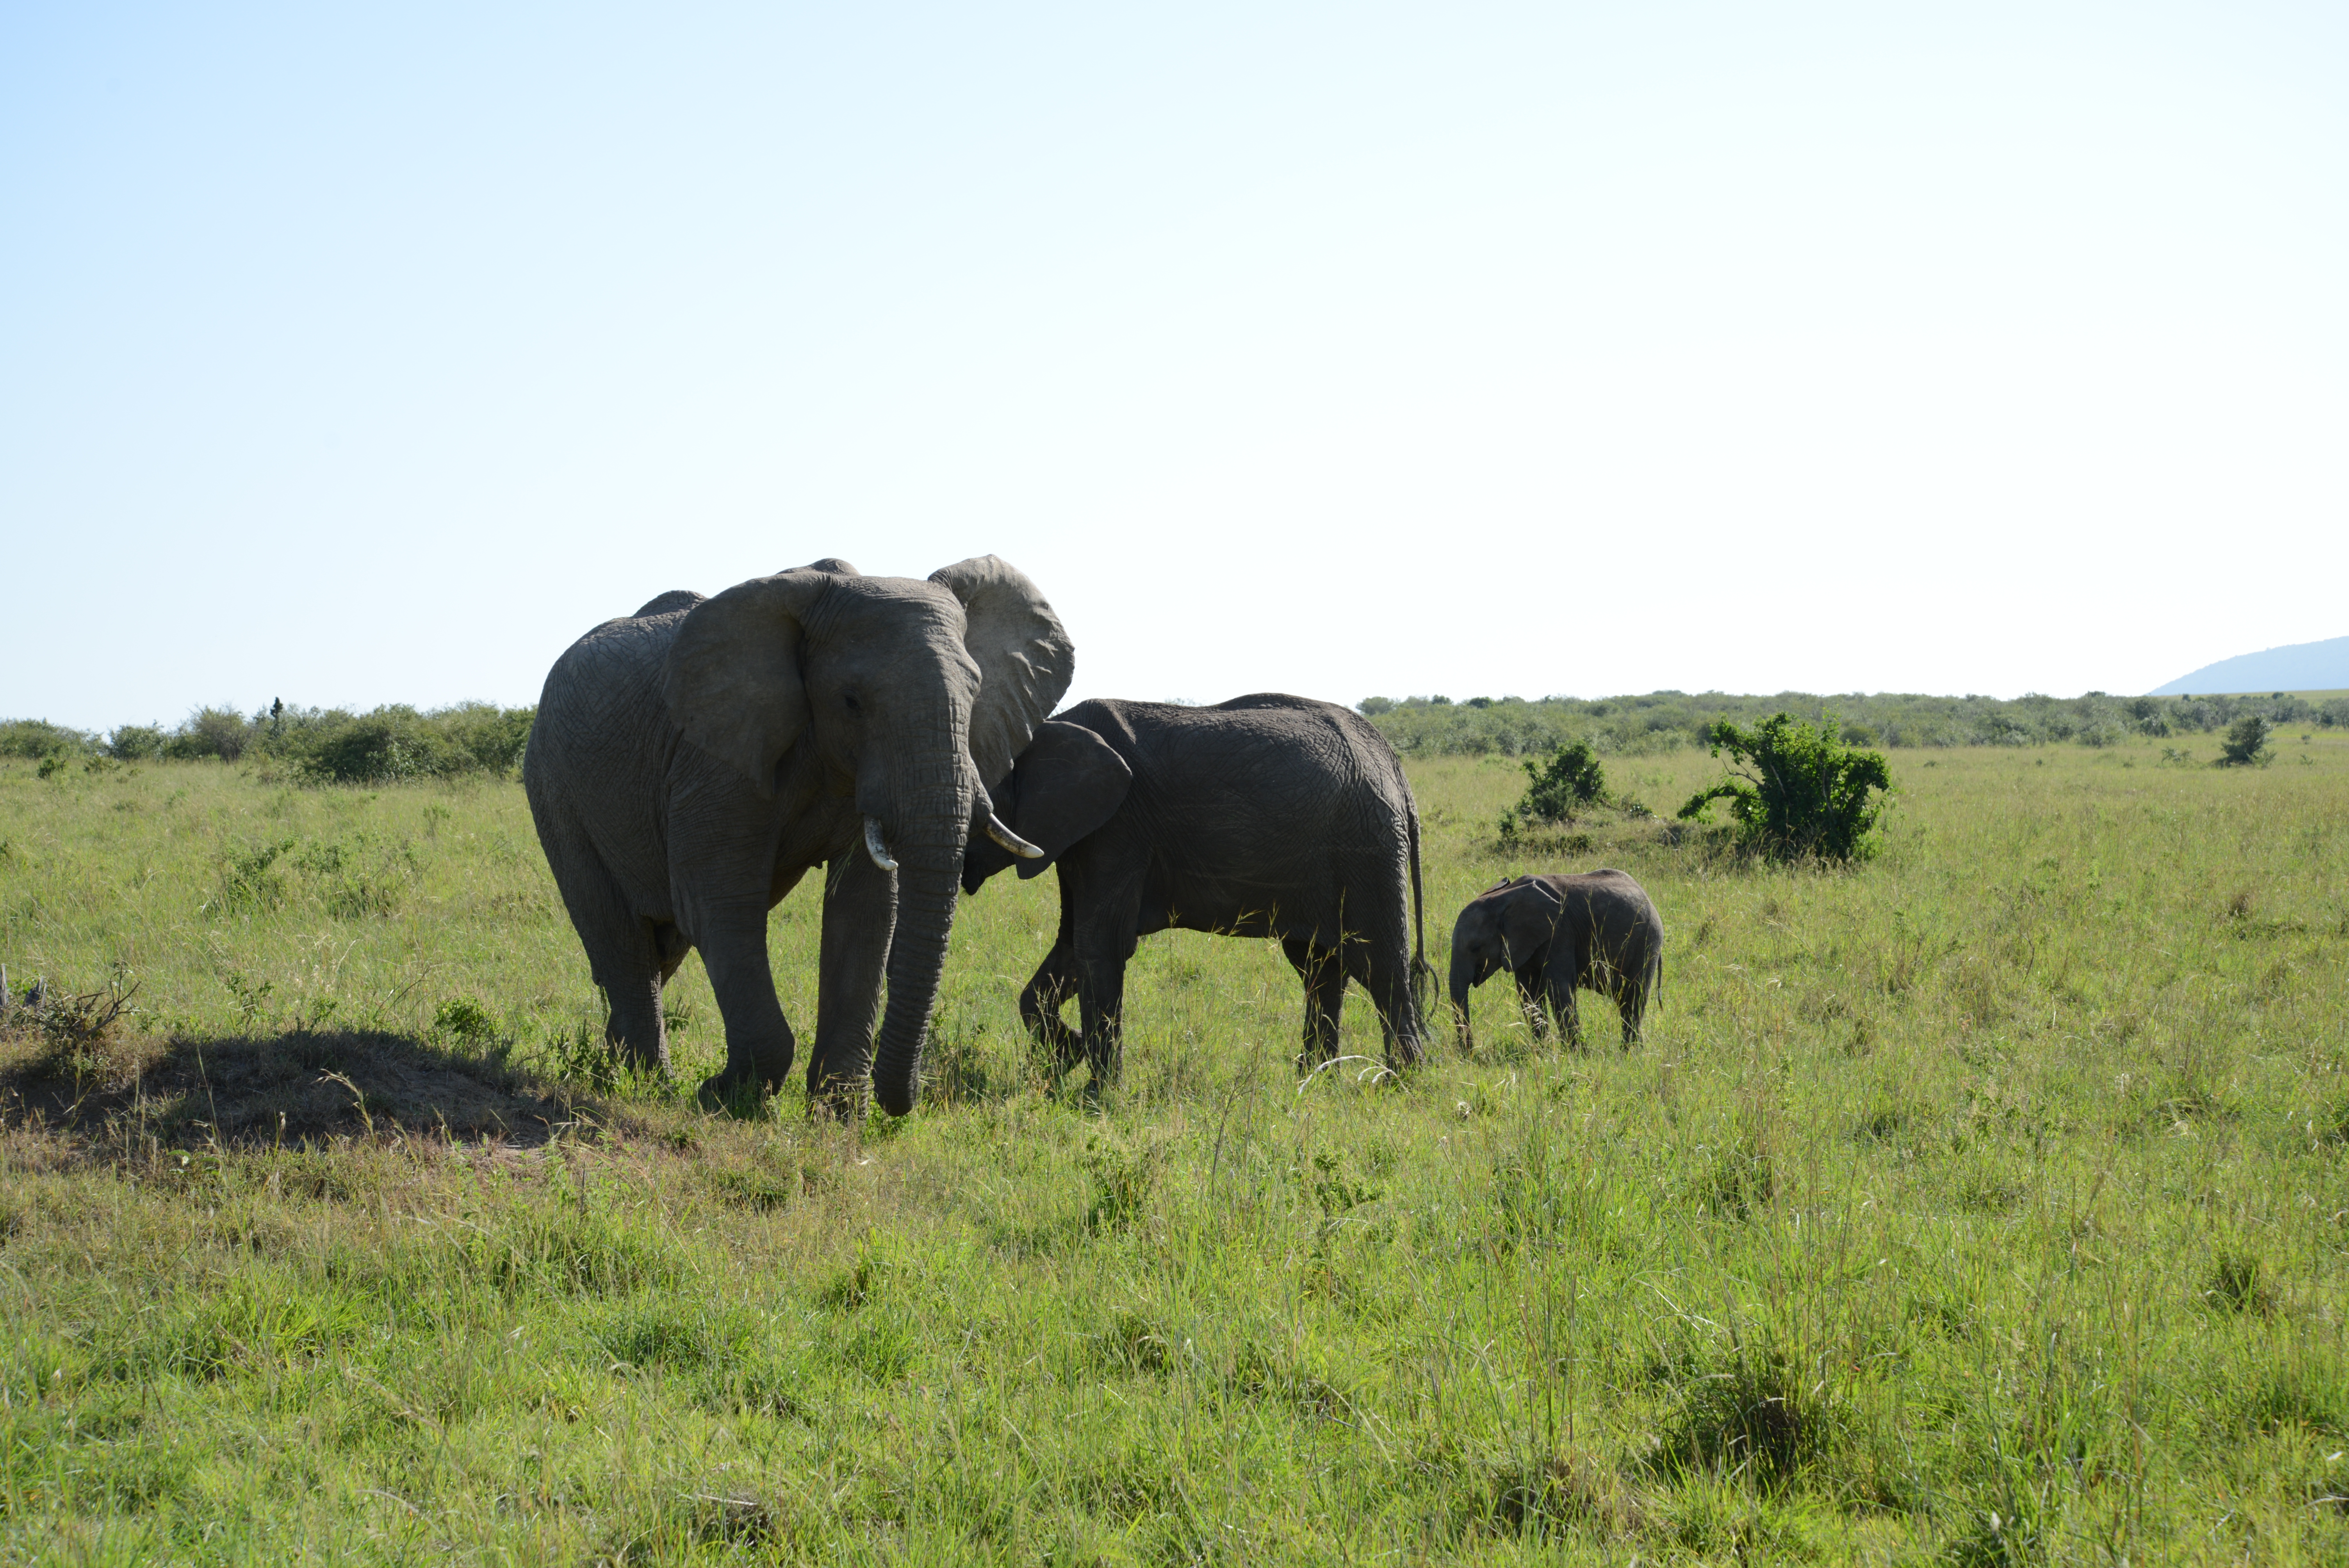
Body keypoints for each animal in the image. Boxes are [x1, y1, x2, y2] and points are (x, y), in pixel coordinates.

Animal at [523, 556, 1072, 1115]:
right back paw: (644, 1083)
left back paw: (617, 1063)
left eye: (976, 695)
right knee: (620, 937)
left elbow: (865, 909)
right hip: (553, 787)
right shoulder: (714, 760)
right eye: (851, 702)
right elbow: (718, 903)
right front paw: (726, 1095)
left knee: (660, 947)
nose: (906, 1100)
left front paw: (838, 1114)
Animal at [959, 694, 1431, 1086]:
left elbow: (1100, 945)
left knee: (1381, 970)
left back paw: (1399, 1084)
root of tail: (1396, 770)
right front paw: (1069, 1056)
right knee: (1319, 969)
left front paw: (1096, 1098)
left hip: (1368, 850)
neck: (1045, 729)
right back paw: (1314, 1082)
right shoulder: (1078, 835)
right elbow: (1072, 947)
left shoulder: (1118, 829)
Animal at [1447, 869, 1663, 1051]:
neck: (1503, 898)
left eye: (1476, 948)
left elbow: (1558, 989)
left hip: (1646, 943)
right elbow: (1529, 994)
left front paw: (1577, 1055)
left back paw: (1629, 1053)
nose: (1471, 1054)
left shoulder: (1559, 932)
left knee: (1633, 998)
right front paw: (1543, 1054)